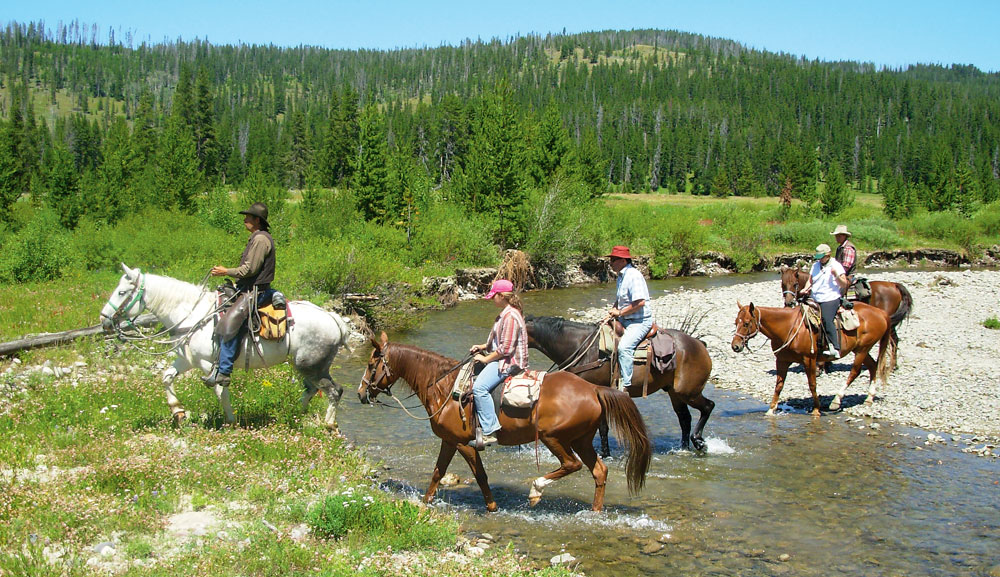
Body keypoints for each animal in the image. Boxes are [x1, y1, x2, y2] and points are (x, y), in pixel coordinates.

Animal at [101, 264, 352, 428]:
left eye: (122, 292)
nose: (104, 321)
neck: (191, 315)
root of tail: (334, 319)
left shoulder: (208, 364)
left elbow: (220, 389)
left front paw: (230, 421)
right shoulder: (186, 360)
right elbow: (166, 377)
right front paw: (178, 411)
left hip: (311, 366)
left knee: (334, 390)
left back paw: (328, 425)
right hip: (306, 366)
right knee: (312, 390)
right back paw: (295, 415)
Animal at [356, 332, 652, 512]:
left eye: (371, 366)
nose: (360, 394)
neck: (444, 386)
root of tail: (593, 389)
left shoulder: (463, 443)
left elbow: (480, 475)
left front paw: (491, 506)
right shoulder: (449, 441)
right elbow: (438, 472)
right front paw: (426, 501)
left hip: (554, 437)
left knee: (572, 465)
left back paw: (535, 491)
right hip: (581, 439)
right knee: (598, 471)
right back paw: (595, 511)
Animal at [524, 316, 712, 454]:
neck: (582, 347)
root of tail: (699, 344)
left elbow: (602, 427)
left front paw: (605, 454)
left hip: (688, 392)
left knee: (707, 407)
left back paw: (699, 442)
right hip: (675, 393)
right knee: (684, 419)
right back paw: (684, 448)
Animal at [732, 302, 896, 414]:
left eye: (746, 323)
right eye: (735, 322)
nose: (735, 346)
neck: (788, 327)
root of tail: (881, 312)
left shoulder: (809, 360)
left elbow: (812, 385)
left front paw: (817, 409)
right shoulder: (782, 361)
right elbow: (779, 385)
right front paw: (771, 410)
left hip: (862, 349)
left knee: (855, 371)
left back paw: (836, 401)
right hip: (860, 349)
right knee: (873, 366)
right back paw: (869, 397)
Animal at [780, 266, 916, 368]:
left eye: (795, 284)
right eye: (783, 284)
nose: (789, 303)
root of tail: (895, 285)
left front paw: (822, 365)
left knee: (893, 340)